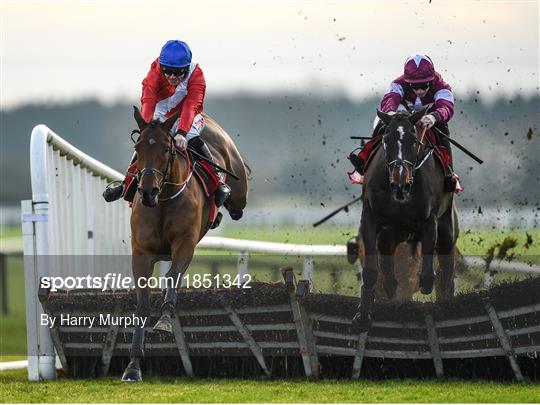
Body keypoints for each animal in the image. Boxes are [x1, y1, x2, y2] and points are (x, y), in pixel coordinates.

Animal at [121, 106, 248, 378]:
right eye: (138, 148)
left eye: (166, 149)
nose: (147, 192)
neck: (163, 200)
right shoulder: (142, 252)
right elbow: (142, 302)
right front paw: (133, 365)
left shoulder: (185, 244)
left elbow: (172, 277)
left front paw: (165, 320)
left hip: (239, 193)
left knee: (236, 206)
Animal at [352, 108, 458, 332]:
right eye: (386, 139)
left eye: (414, 140)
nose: (400, 183)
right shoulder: (370, 218)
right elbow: (372, 271)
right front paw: (363, 315)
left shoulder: (429, 220)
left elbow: (427, 275)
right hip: (389, 236)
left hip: (447, 231)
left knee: (446, 277)